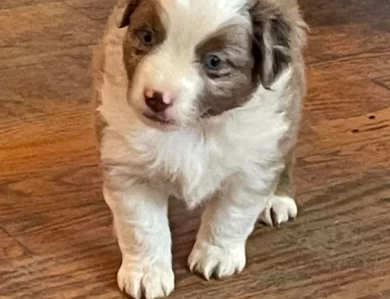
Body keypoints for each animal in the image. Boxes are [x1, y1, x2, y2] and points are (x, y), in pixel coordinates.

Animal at [93, 0, 306, 299]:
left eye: (214, 62)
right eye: (147, 37)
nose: (156, 98)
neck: (197, 128)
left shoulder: (250, 169)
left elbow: (229, 216)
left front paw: (216, 255)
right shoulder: (130, 169)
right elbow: (143, 227)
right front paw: (147, 273)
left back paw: (278, 199)